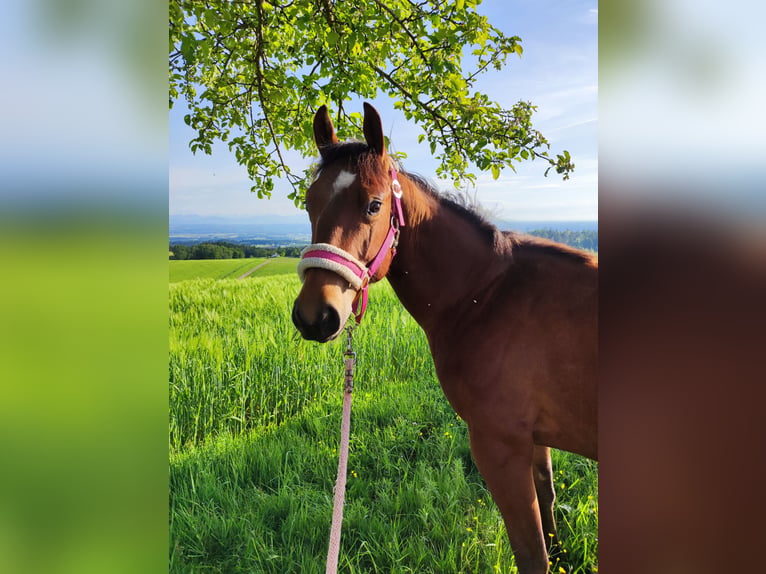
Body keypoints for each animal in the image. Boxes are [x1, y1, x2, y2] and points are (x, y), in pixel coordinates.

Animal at [292, 103, 596, 574]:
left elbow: (532, 550)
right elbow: (547, 503)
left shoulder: (500, 446)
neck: (485, 295)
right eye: (310, 202)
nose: (315, 316)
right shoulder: (535, 440)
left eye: (374, 205)